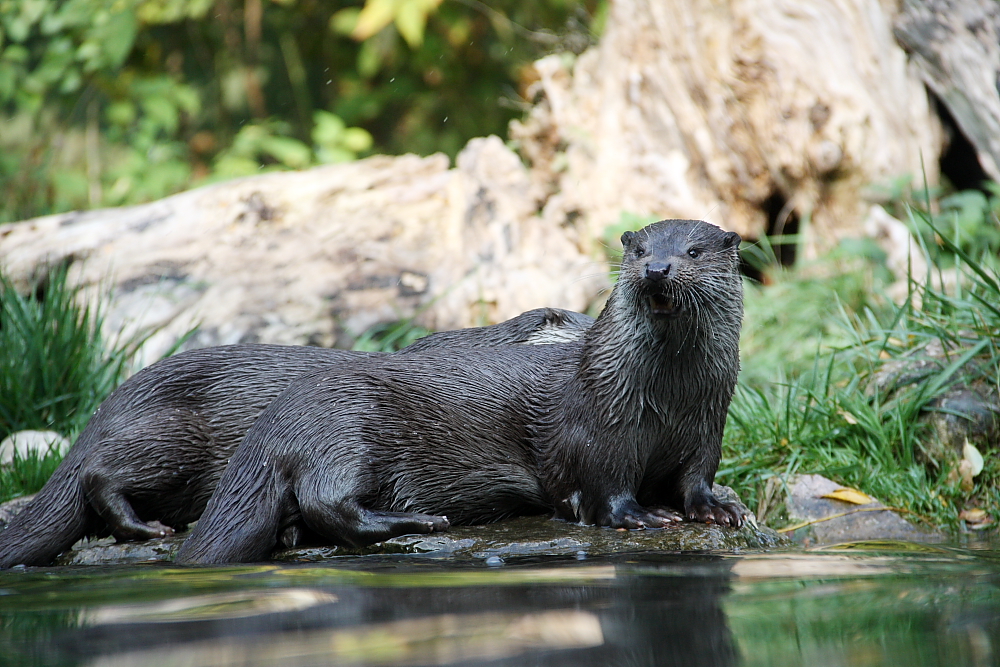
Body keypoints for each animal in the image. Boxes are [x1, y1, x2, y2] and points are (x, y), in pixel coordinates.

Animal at [176, 222, 748, 568]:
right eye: (640, 250)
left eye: (693, 251)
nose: (657, 269)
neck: (666, 403)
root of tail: (274, 423)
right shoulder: (599, 430)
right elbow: (605, 489)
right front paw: (640, 516)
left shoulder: (706, 427)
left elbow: (696, 478)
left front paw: (717, 509)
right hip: (343, 432)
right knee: (330, 505)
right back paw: (420, 520)